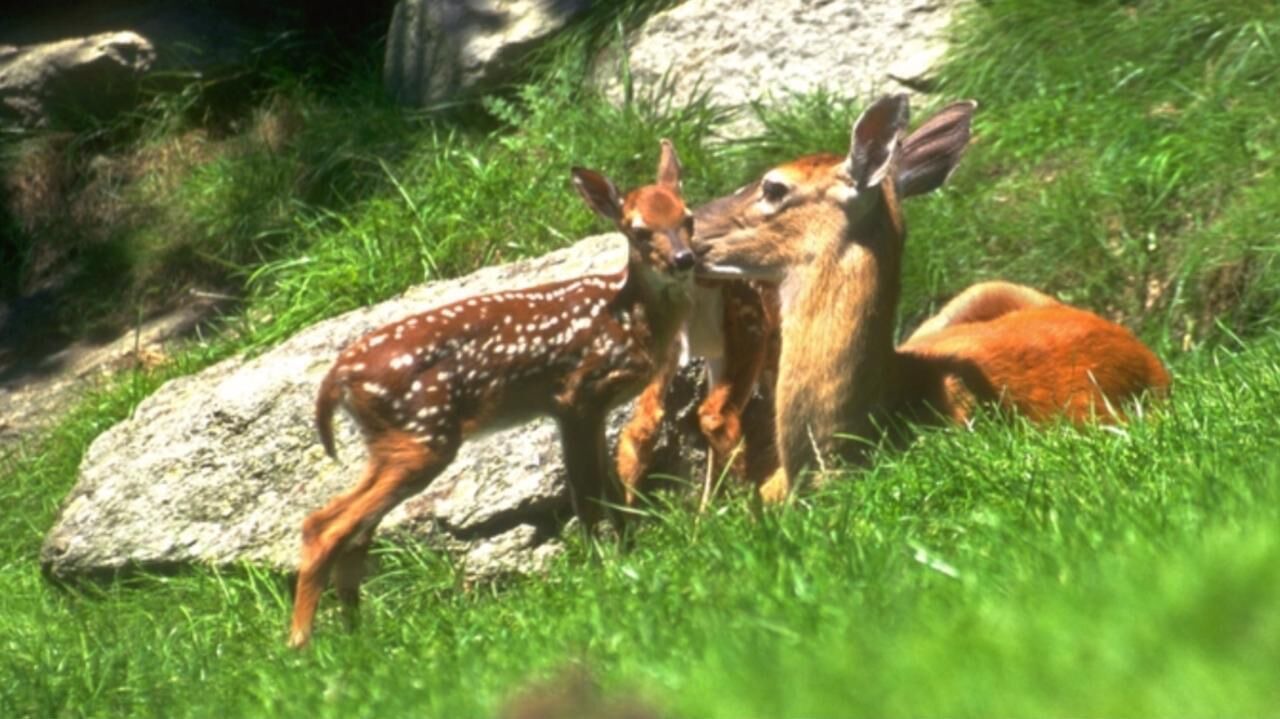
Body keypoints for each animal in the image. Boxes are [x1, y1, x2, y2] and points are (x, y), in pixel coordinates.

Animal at [289, 140, 696, 648]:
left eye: (688, 217)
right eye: (639, 231)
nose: (685, 260)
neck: (629, 319)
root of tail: (338, 377)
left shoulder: (584, 409)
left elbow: (611, 486)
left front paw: (629, 554)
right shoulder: (576, 396)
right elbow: (587, 493)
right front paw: (604, 566)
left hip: (392, 443)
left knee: (352, 529)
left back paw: (355, 633)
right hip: (422, 434)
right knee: (327, 526)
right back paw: (301, 643)